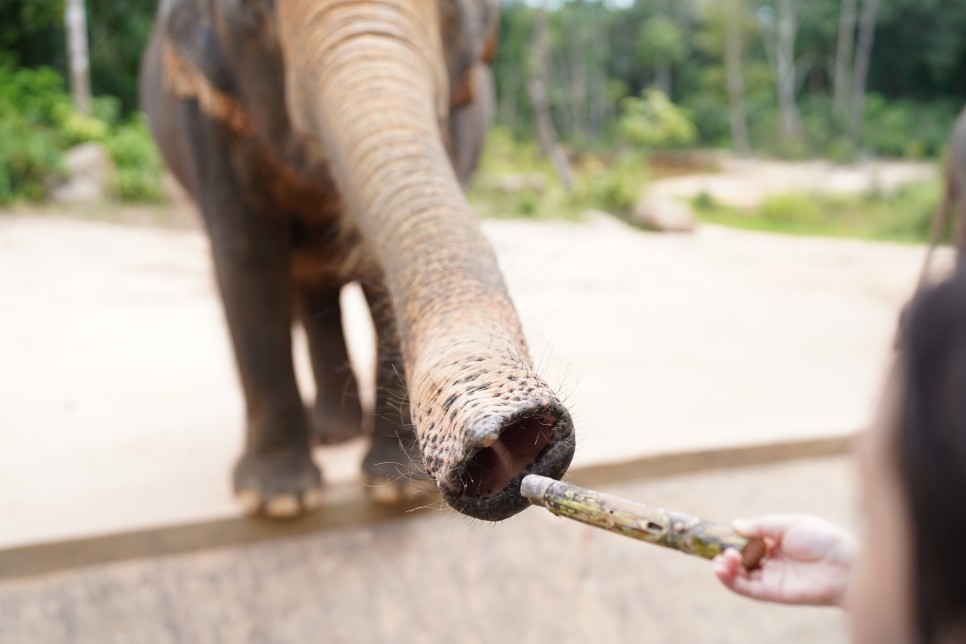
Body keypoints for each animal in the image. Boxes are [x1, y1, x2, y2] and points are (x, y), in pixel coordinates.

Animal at [136, 0, 576, 520]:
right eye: (252, 13)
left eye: (452, 11)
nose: (503, 439)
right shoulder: (206, 123)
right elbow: (245, 259)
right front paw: (277, 501)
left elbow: (382, 275)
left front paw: (397, 488)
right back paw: (327, 437)